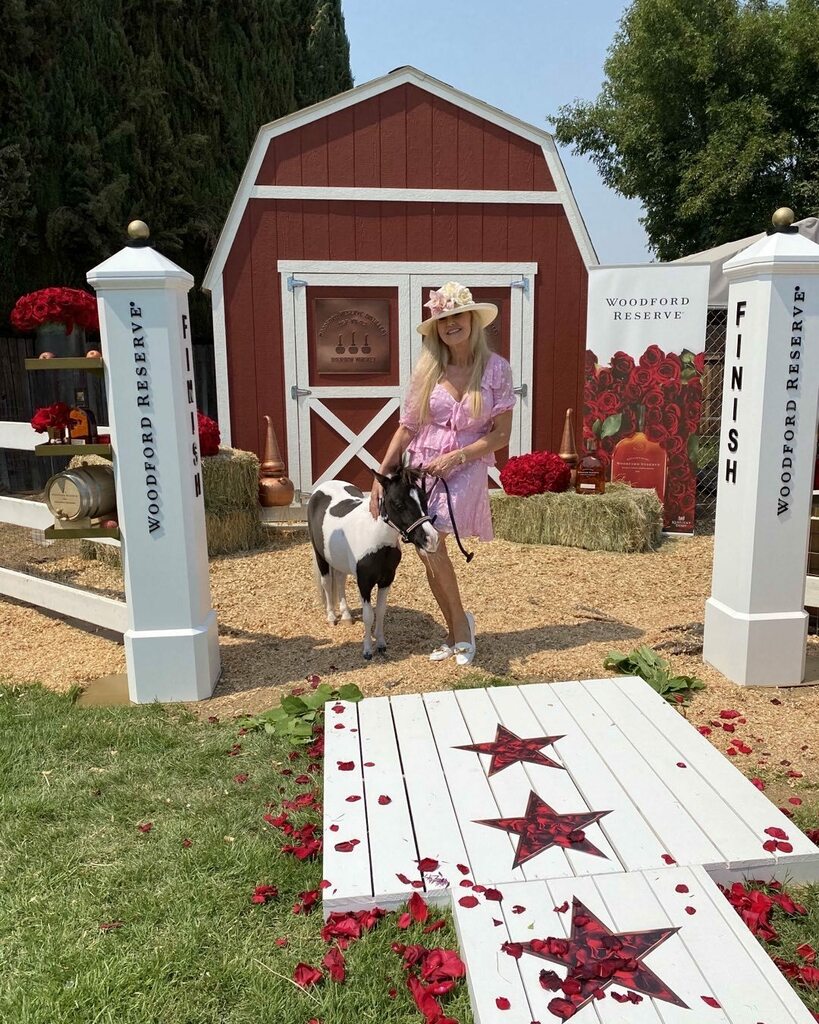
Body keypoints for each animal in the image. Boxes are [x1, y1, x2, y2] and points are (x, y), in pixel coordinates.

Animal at [307, 468, 439, 659]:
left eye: (423, 498)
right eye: (399, 504)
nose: (431, 539)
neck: (377, 541)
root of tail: (322, 488)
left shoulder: (387, 580)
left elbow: (381, 611)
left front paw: (381, 644)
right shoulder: (364, 583)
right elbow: (368, 615)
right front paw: (368, 650)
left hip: (339, 561)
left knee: (339, 580)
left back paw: (346, 616)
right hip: (321, 557)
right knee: (326, 583)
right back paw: (332, 617)